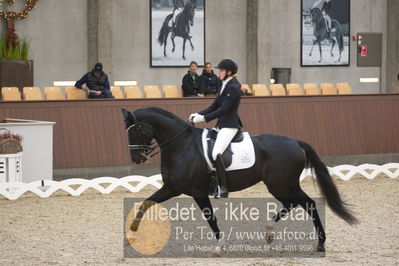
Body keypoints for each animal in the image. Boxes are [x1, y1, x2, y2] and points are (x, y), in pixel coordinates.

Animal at [122, 108, 360, 256]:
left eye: (136, 130)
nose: (136, 158)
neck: (181, 145)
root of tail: (295, 141)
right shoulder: (172, 188)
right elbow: (145, 203)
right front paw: (131, 234)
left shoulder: (198, 192)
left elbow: (210, 218)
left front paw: (219, 247)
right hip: (284, 184)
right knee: (300, 203)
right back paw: (278, 234)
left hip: (280, 184)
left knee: (303, 203)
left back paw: (308, 240)